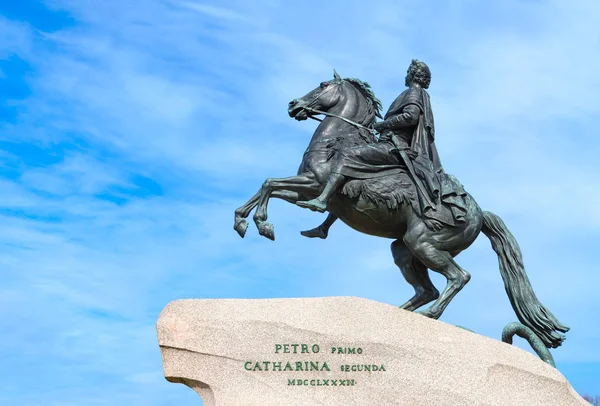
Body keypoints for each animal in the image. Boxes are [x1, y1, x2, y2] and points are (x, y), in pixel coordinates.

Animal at [232, 70, 568, 348]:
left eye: (323, 85)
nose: (293, 105)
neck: (337, 140)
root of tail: (479, 214)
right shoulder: (303, 186)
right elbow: (268, 187)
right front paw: (243, 221)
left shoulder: (314, 184)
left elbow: (271, 185)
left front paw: (262, 223)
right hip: (404, 249)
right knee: (427, 289)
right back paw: (401, 314)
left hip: (425, 244)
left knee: (459, 277)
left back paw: (430, 314)